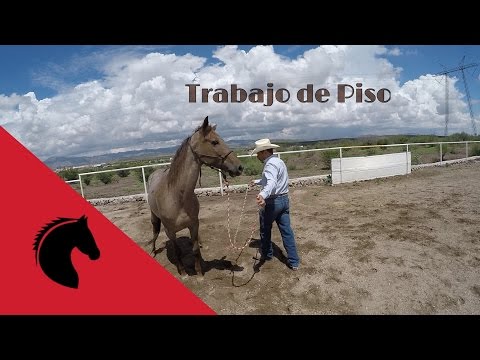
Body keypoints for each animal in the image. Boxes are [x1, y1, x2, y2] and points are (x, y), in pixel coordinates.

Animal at [146, 116, 244, 274]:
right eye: (214, 142)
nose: (240, 167)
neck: (178, 197)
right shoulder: (170, 231)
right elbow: (177, 251)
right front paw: (183, 271)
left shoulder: (194, 225)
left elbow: (196, 249)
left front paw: (199, 272)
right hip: (154, 217)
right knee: (155, 232)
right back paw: (153, 250)